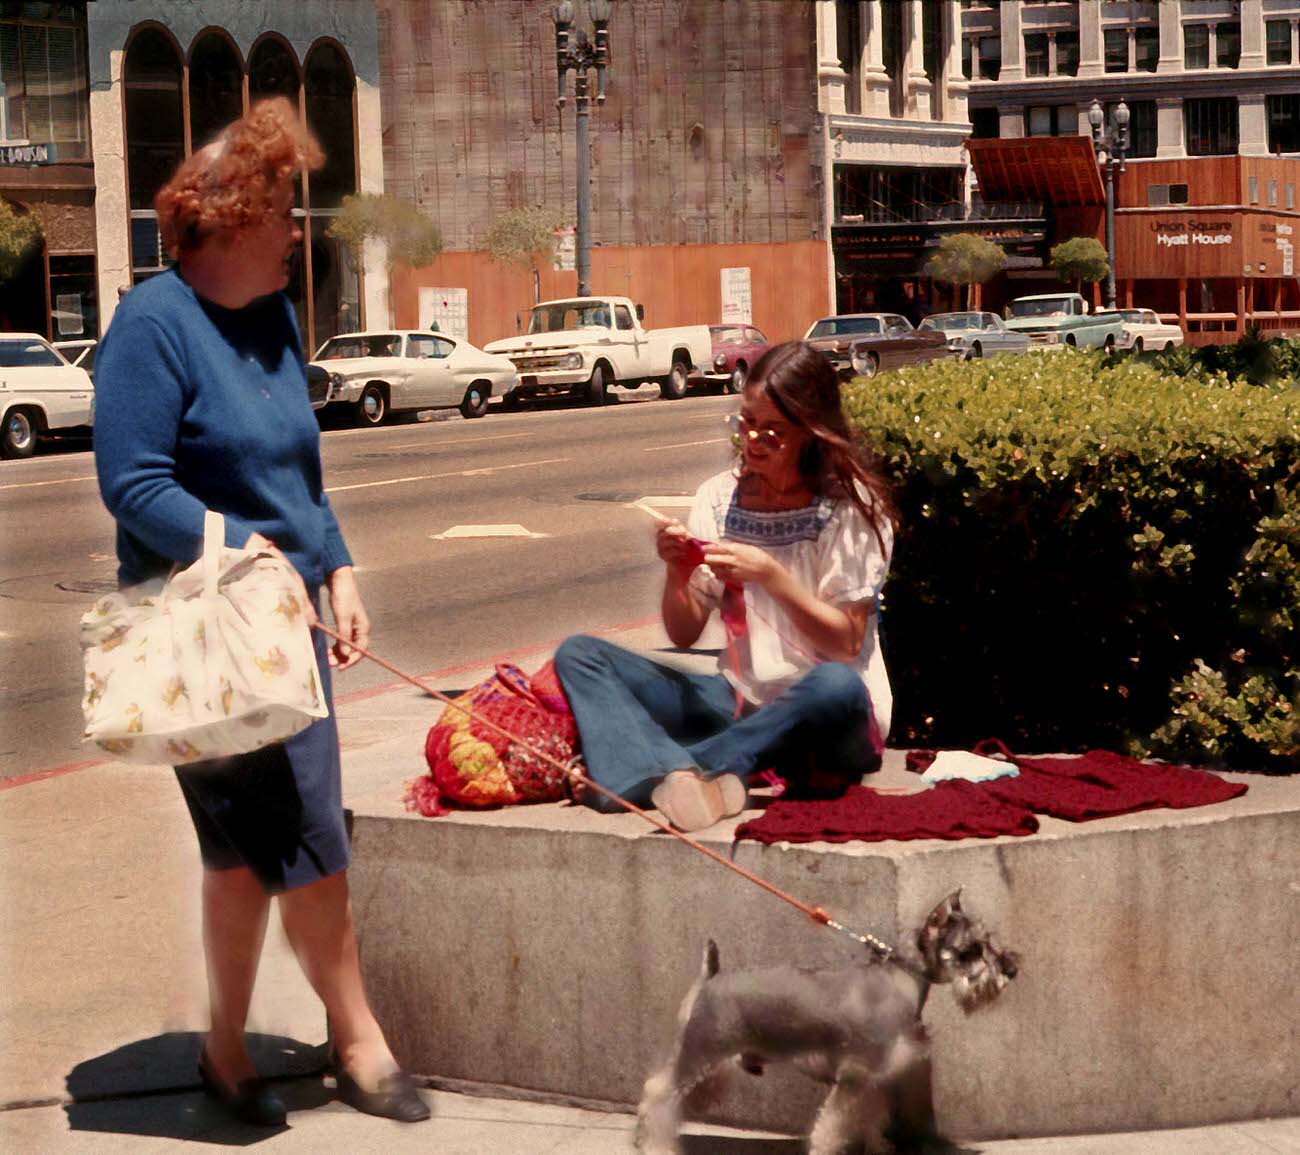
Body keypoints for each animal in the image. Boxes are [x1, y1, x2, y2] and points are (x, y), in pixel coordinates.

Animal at [634, 889, 1019, 1149]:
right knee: (658, 1097)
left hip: (711, 1068)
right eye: (970, 950)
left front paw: (877, 1148)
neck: (901, 979)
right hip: (701, 1055)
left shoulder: (873, 1079)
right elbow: (831, 1127)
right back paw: (655, 1145)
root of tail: (710, 978)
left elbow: (869, 1119)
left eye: (989, 940)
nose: (1011, 969)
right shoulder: (853, 1077)